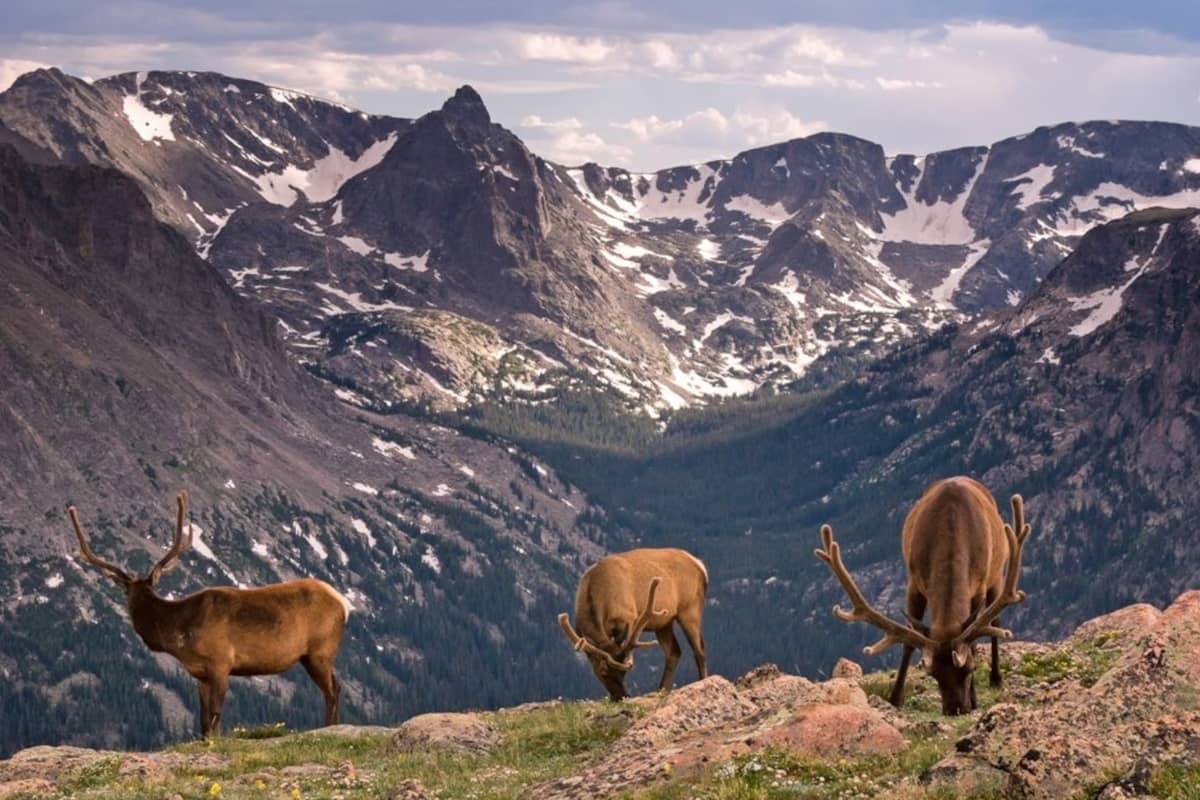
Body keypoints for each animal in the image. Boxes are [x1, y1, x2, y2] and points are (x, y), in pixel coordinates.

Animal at [68, 494, 350, 738]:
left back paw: (330, 729)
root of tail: (342, 603)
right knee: (335, 686)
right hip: (310, 656)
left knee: (332, 689)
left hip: (320, 650)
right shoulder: (200, 673)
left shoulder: (221, 661)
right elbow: (203, 721)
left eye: (130, 594)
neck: (180, 633)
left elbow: (215, 715)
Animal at [556, 551, 705, 700]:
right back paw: (660, 690)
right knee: (674, 652)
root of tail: (699, 565)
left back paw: (702, 681)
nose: (623, 696)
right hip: (663, 622)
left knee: (699, 651)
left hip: (690, 609)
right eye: (602, 672)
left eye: (623, 673)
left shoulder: (629, 617)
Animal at [816, 479, 1032, 714]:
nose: (956, 709)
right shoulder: (914, 581)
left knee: (995, 622)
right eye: (933, 674)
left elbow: (974, 643)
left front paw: (975, 699)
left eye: (970, 669)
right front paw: (895, 698)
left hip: (998, 574)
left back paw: (996, 678)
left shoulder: (980, 585)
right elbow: (908, 641)